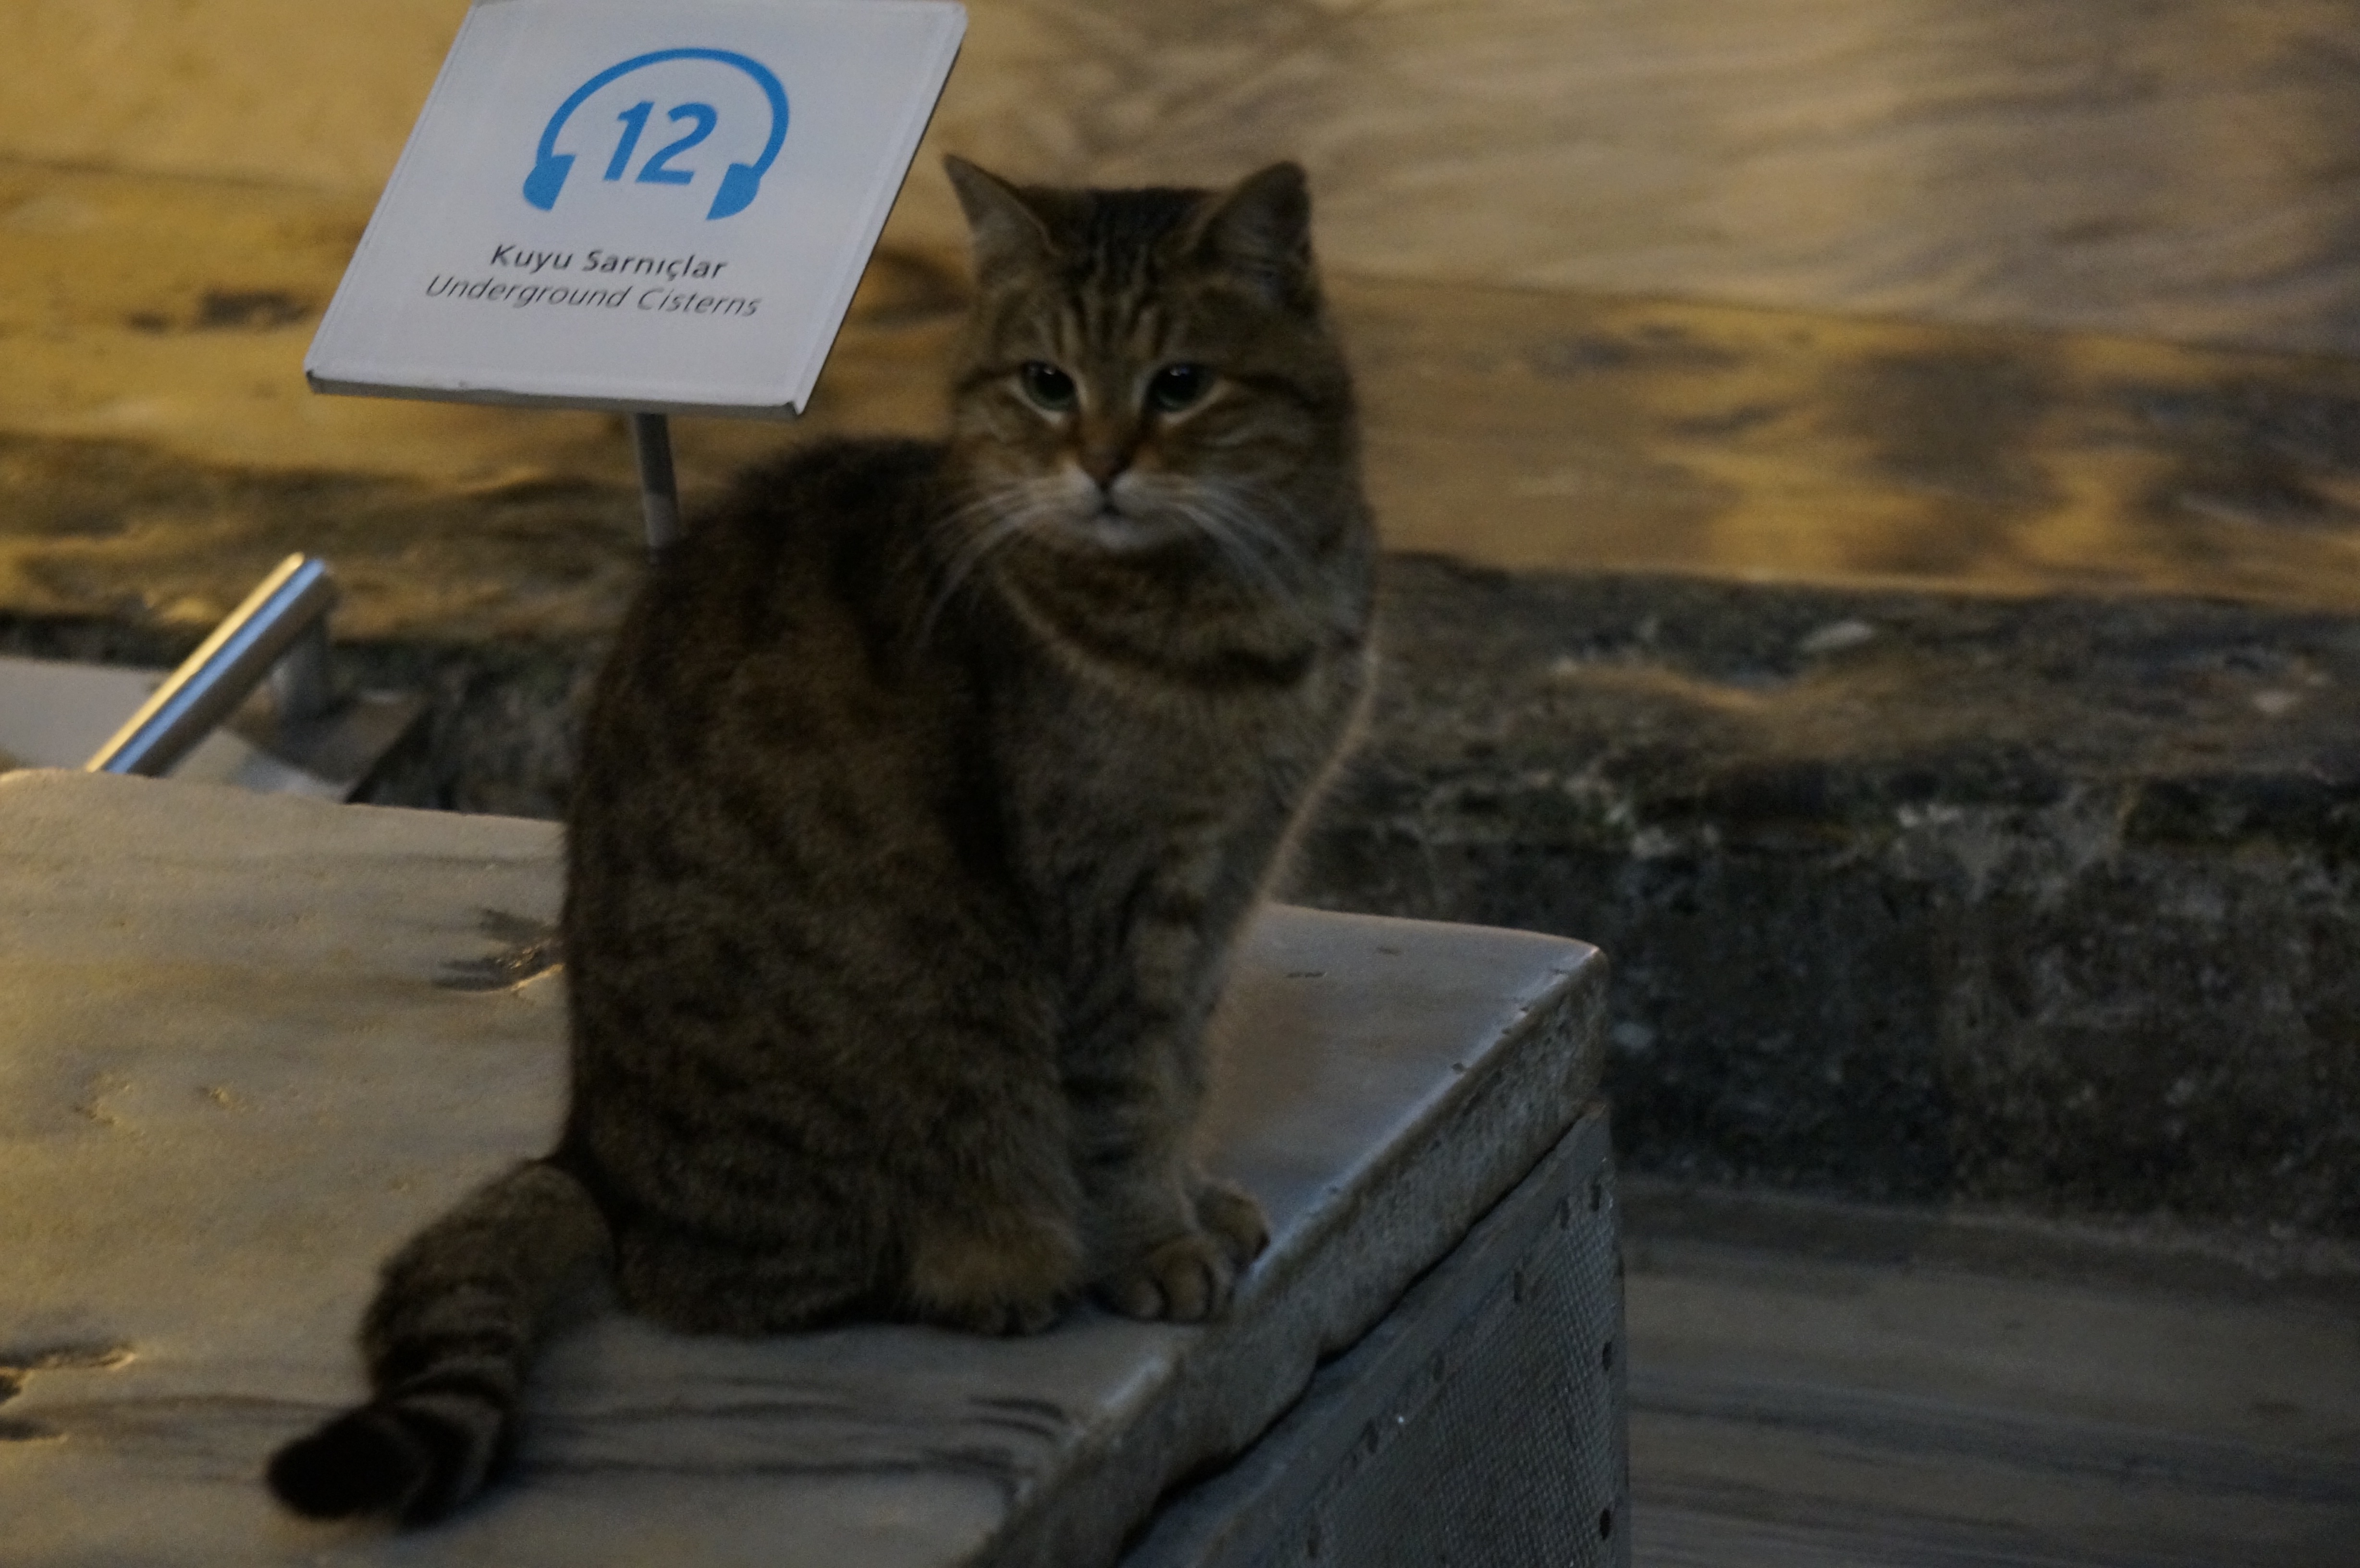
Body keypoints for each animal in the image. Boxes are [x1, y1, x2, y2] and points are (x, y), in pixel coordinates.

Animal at [266, 156, 1376, 1526]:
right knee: (733, 1281)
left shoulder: (1227, 880)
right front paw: (1153, 1243)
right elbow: (1125, 1097)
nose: (1103, 467)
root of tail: (588, 1157)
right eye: (1045, 382)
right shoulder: (1111, 902)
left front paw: (1197, 1193)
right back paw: (992, 1267)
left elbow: (1182, 1075)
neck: (1243, 612)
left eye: (1180, 383)